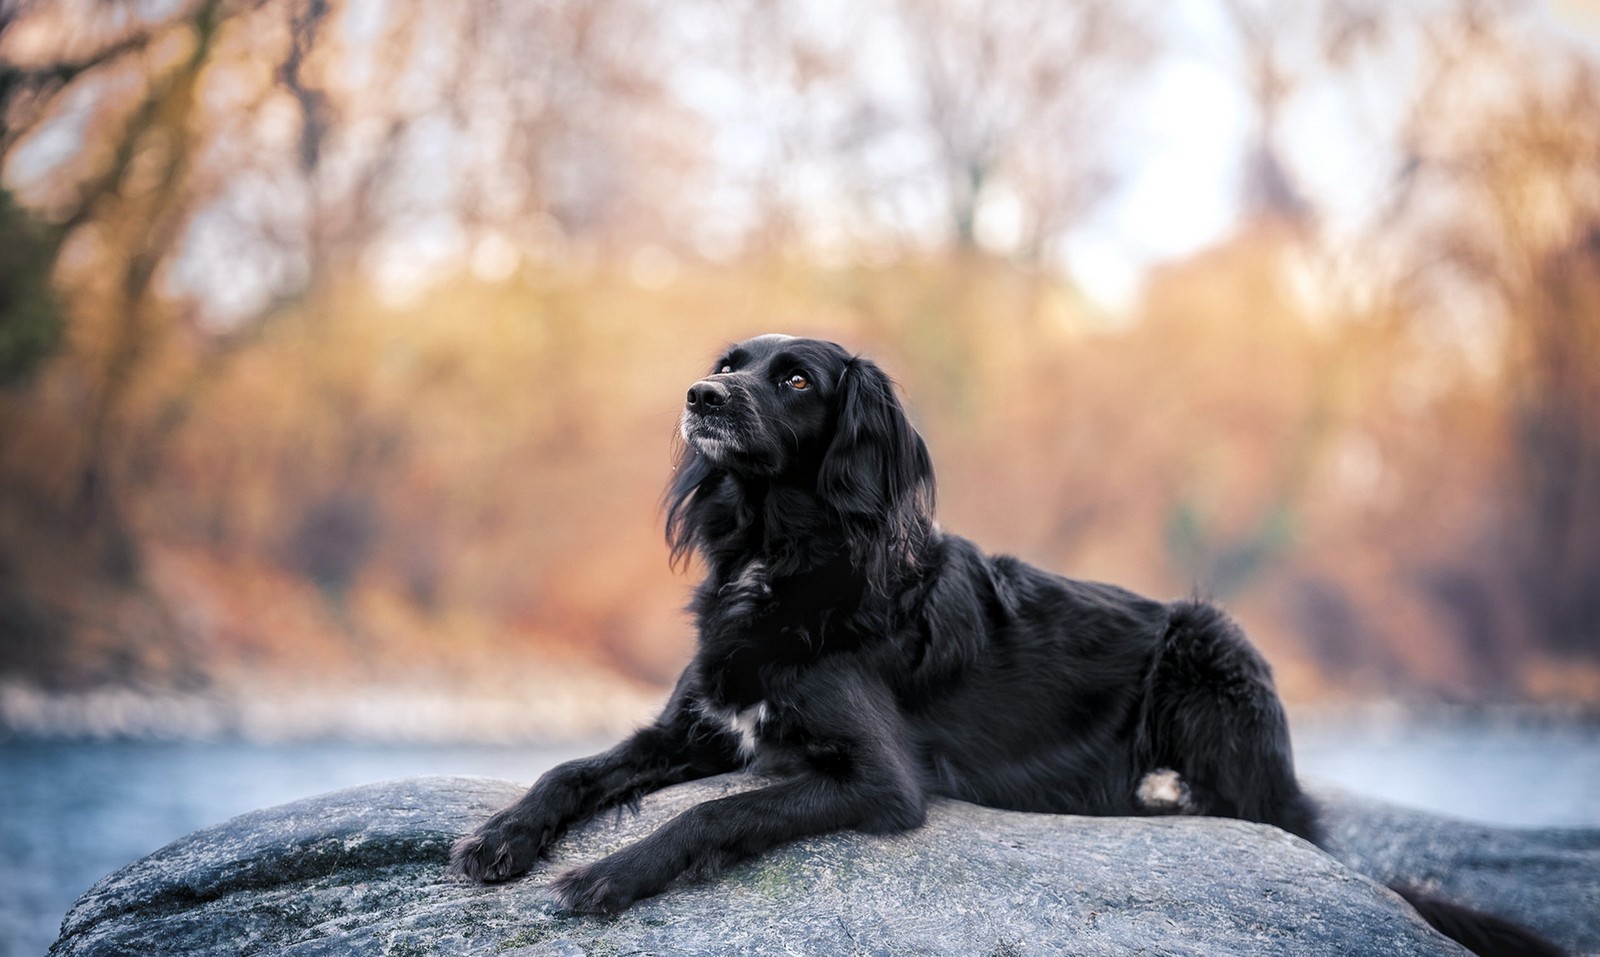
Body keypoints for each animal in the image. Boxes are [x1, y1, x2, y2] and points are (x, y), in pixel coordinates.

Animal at [454, 334, 1561, 953]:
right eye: (729, 366)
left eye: (797, 379)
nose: (700, 396)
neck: (786, 560)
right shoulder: (701, 723)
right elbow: (571, 768)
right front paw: (500, 835)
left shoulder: (876, 780)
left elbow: (718, 813)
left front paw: (610, 874)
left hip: (1211, 638)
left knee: (1258, 815)